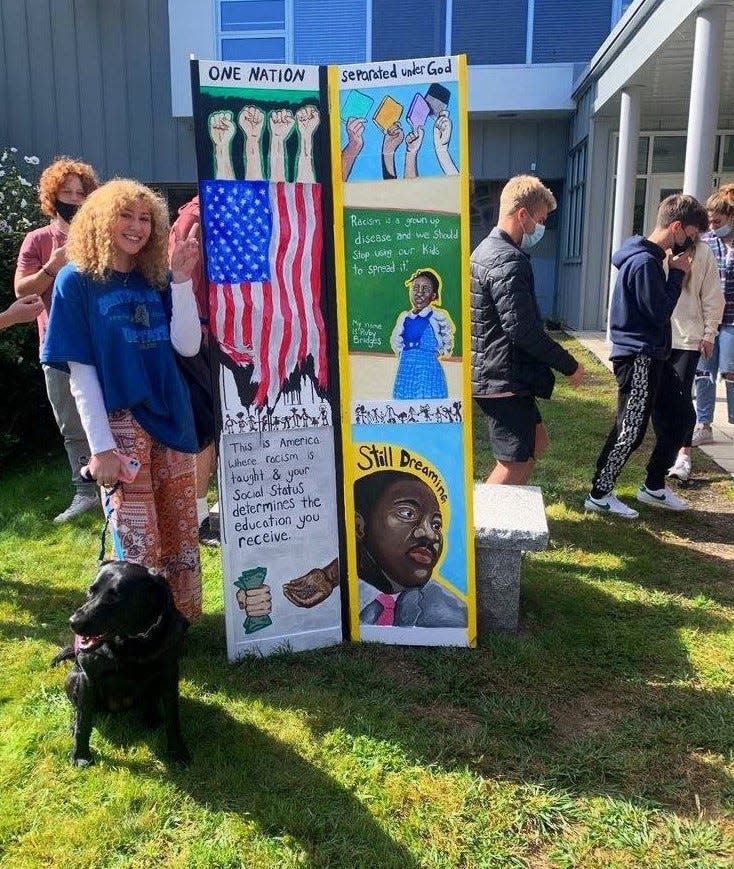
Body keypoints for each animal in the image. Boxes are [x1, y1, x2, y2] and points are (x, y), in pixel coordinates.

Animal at [51, 560, 190, 764]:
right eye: (91, 590)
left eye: (114, 597)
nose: (73, 622)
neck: (133, 642)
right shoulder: (88, 678)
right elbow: (84, 721)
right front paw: (81, 756)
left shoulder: (169, 674)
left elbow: (173, 719)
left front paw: (177, 752)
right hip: (72, 679)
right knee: (79, 709)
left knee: (149, 702)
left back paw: (152, 718)